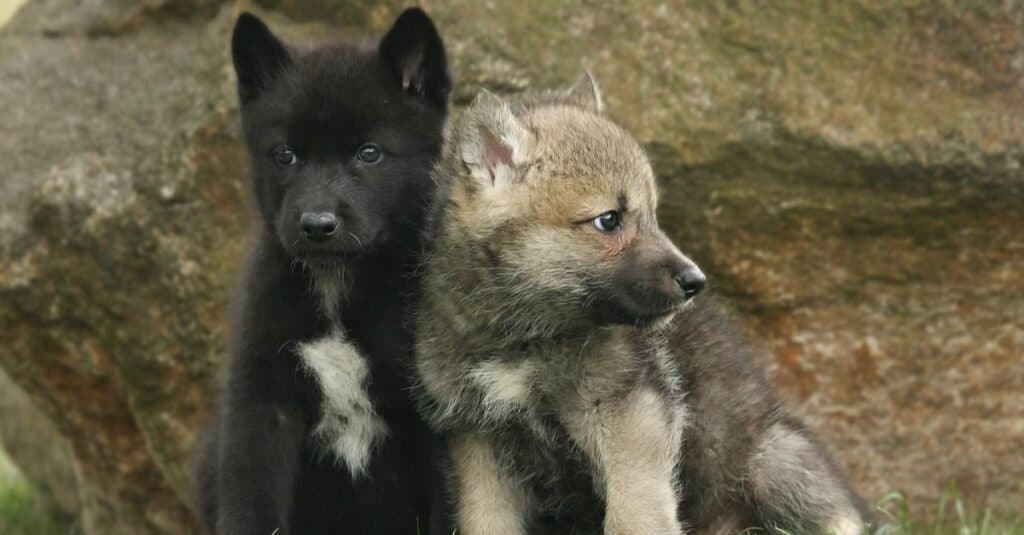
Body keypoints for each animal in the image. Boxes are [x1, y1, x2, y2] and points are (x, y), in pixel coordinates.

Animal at [195, 9, 452, 532]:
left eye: (369, 152)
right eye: (285, 154)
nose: (317, 225)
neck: (337, 286)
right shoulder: (260, 408)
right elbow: (250, 507)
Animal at [411, 74, 868, 532]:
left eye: (653, 214)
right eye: (609, 219)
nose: (695, 281)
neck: (523, 338)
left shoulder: (629, 412)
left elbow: (632, 514)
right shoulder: (478, 438)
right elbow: (484, 520)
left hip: (773, 461)